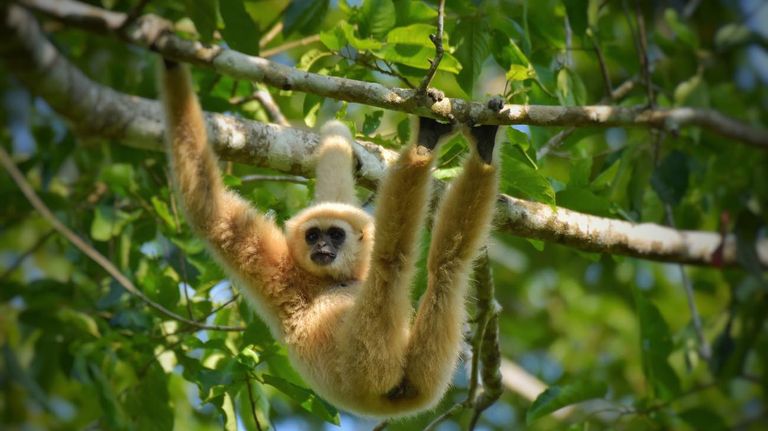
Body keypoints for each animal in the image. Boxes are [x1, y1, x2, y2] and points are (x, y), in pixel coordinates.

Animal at [159, 59, 501, 418]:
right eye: (313, 236)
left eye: (335, 235)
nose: (322, 246)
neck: (330, 279)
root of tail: (392, 403)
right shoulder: (280, 269)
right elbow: (208, 208)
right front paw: (171, 60)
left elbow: (334, 191)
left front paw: (337, 138)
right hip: (369, 363)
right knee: (393, 259)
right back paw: (424, 146)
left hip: (416, 375)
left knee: (449, 266)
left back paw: (481, 152)